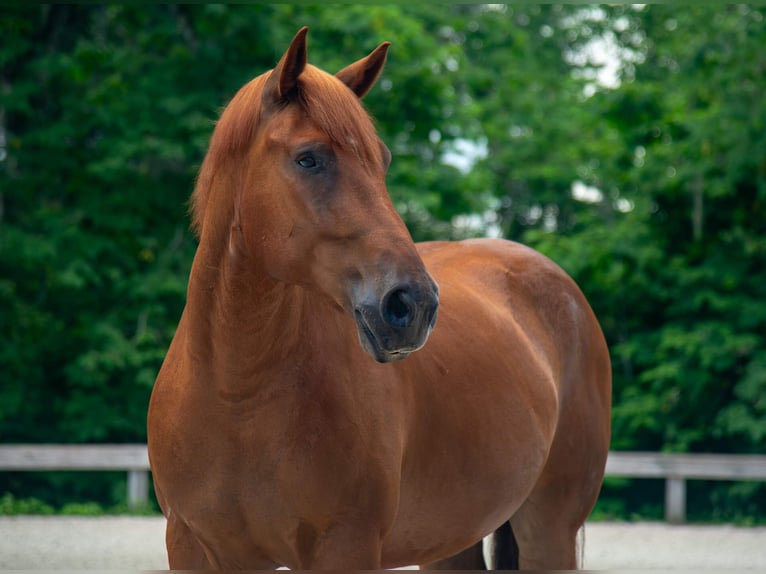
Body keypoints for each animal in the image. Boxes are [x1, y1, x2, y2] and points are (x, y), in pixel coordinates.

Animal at [147, 27, 611, 570]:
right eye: (309, 158)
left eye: (383, 160)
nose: (413, 305)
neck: (236, 396)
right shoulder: (193, 547)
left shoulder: (346, 545)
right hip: (450, 541)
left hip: (550, 530)